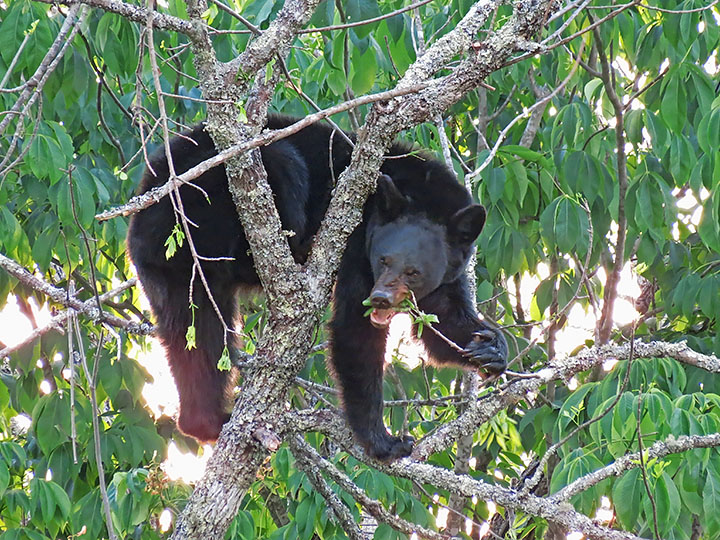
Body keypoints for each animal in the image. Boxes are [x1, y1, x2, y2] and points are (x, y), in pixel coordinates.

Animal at [126, 115, 506, 460]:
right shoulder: (356, 239)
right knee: (280, 162)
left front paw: (489, 347)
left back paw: (206, 420)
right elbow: (354, 328)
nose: (381, 297)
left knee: (198, 334)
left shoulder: (452, 265)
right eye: (383, 259)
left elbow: (442, 320)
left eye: (414, 272)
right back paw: (297, 248)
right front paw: (384, 441)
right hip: (207, 201)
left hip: (176, 272)